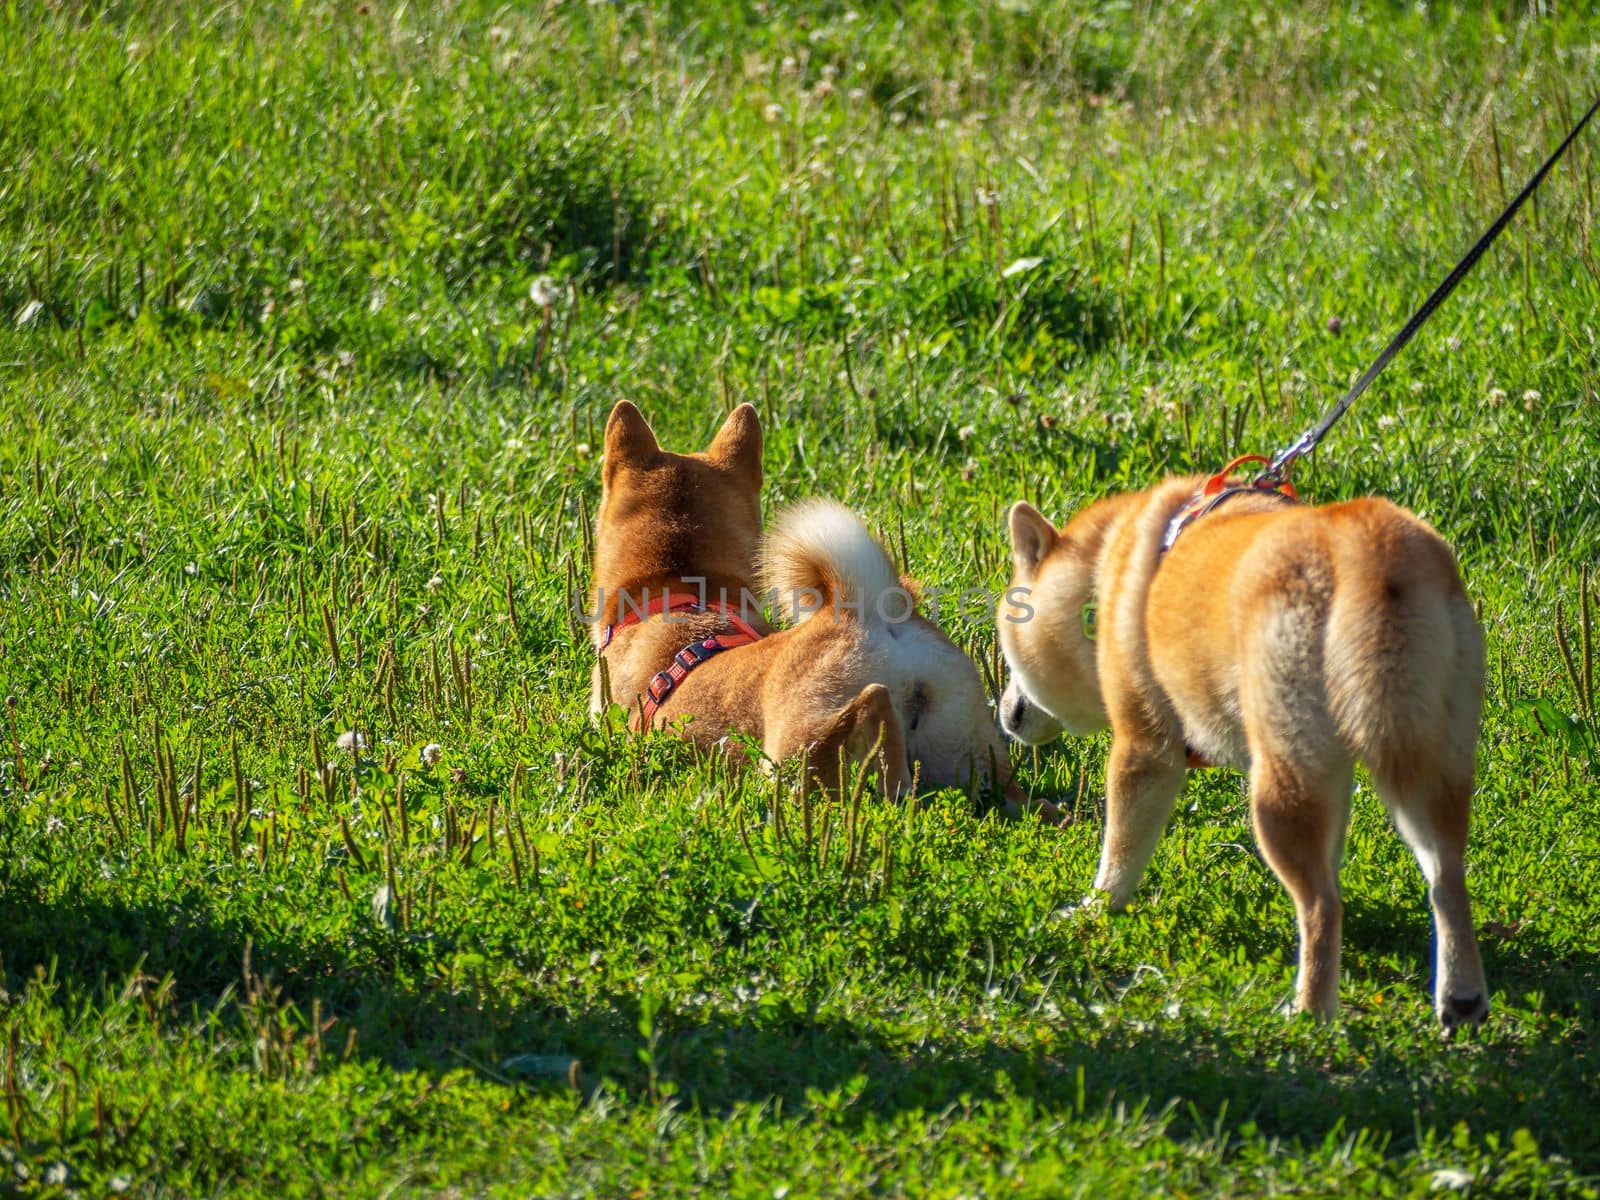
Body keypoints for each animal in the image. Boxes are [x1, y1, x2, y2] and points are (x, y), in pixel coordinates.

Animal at [588, 400, 1062, 825]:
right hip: (975, 752)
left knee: (868, 736)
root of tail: (867, 611)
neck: (685, 593)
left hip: (796, 759)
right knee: (1027, 804)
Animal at [998, 473, 1484, 1030]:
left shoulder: (1145, 747)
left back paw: (1309, 1013)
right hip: (1428, 767)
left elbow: (1118, 856)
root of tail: (1369, 550)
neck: (1102, 581)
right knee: (1447, 879)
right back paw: (1461, 997)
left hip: (1280, 783)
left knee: (1322, 905)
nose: (1004, 712)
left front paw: (1095, 911)